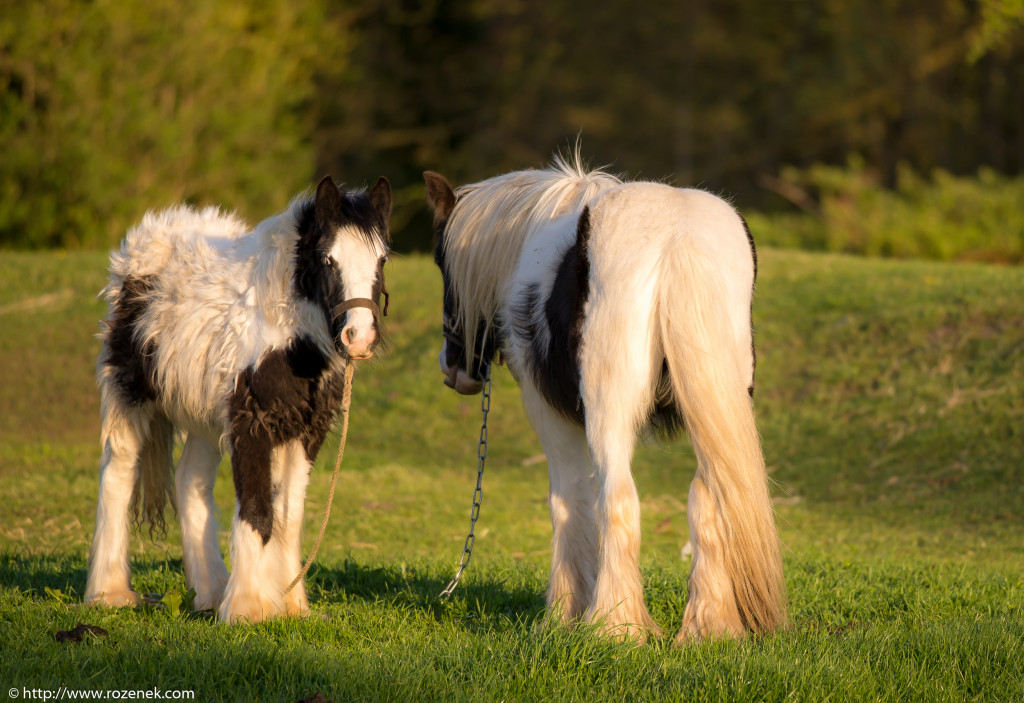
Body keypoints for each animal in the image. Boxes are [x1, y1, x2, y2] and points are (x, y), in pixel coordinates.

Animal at [84, 176, 391, 622]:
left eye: (381, 260)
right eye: (328, 260)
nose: (360, 338)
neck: (285, 332)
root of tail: (142, 243)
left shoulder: (306, 432)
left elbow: (288, 514)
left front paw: (290, 605)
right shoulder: (251, 423)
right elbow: (257, 509)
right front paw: (249, 607)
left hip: (204, 417)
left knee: (189, 481)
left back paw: (210, 592)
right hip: (129, 393)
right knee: (118, 473)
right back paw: (109, 593)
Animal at [423, 156, 782, 642]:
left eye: (441, 261)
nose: (454, 371)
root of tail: (680, 239)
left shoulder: (547, 412)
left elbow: (569, 501)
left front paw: (564, 613)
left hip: (608, 412)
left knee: (619, 497)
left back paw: (615, 627)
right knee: (707, 497)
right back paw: (709, 628)